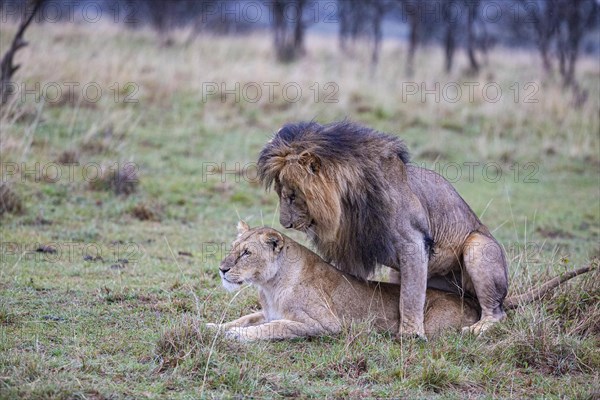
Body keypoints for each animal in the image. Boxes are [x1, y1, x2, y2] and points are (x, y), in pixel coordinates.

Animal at [210, 222, 592, 340]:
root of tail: (466, 298)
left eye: (246, 254)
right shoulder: (266, 309)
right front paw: (213, 326)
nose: (222, 269)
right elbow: (247, 317)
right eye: (232, 249)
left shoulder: (325, 324)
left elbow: (276, 327)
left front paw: (237, 336)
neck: (270, 285)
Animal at [255, 119, 508, 338]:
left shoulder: (413, 243)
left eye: (292, 196)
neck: (349, 205)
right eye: (281, 194)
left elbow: (411, 297)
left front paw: (411, 334)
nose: (285, 224)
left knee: (497, 311)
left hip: (478, 246)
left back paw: (478, 327)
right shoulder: (349, 248)